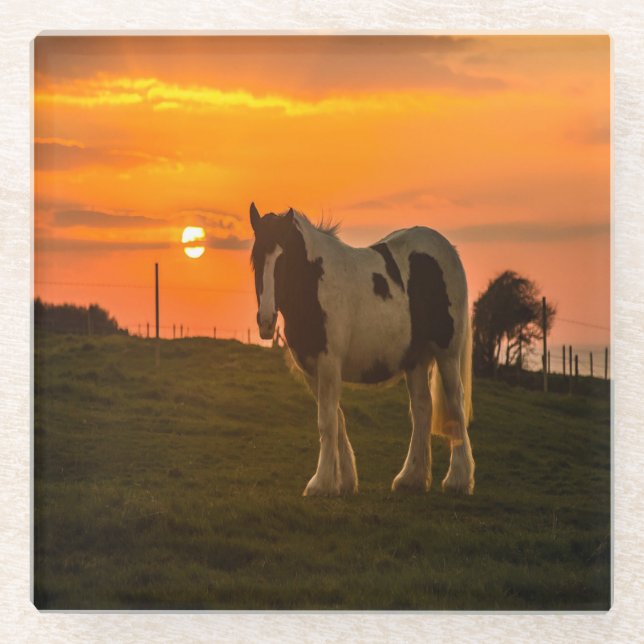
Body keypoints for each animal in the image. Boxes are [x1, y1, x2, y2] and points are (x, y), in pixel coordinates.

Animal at [249, 202, 475, 497]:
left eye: (283, 258)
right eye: (255, 258)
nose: (266, 321)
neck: (315, 284)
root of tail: (448, 250)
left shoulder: (329, 364)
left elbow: (327, 421)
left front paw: (320, 483)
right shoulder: (312, 370)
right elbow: (337, 419)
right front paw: (343, 480)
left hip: (447, 354)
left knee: (455, 404)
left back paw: (458, 479)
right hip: (415, 360)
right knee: (422, 408)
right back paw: (411, 478)